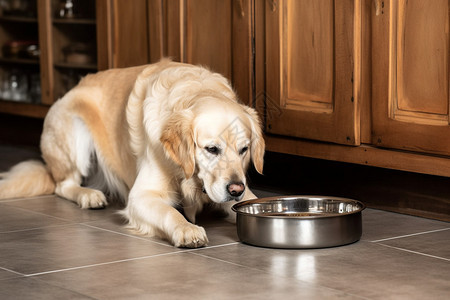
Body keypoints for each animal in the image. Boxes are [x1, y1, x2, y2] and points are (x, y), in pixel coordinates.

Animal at [0, 59, 264, 247]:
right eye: (211, 149)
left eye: (244, 150)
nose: (235, 190)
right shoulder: (140, 197)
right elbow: (169, 212)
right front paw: (187, 229)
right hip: (74, 129)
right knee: (63, 184)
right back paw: (89, 196)